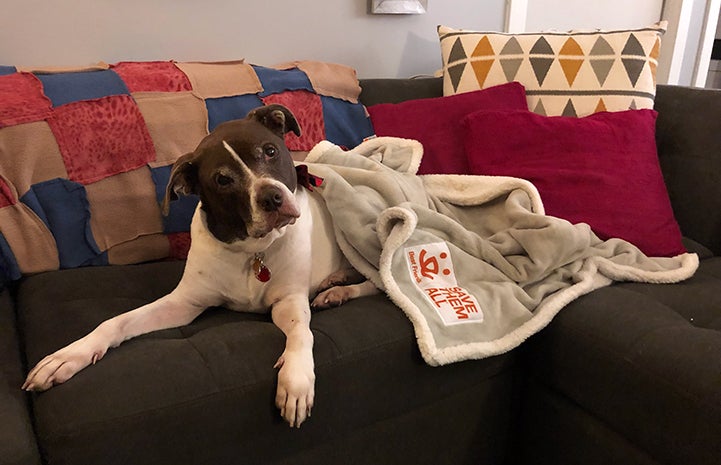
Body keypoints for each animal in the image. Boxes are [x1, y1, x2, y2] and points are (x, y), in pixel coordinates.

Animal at [22, 104, 376, 428]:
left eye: (270, 151)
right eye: (222, 179)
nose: (272, 198)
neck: (251, 251)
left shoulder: (289, 300)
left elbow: (302, 333)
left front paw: (297, 379)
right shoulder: (185, 304)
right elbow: (116, 322)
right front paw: (70, 355)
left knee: (376, 281)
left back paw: (338, 290)